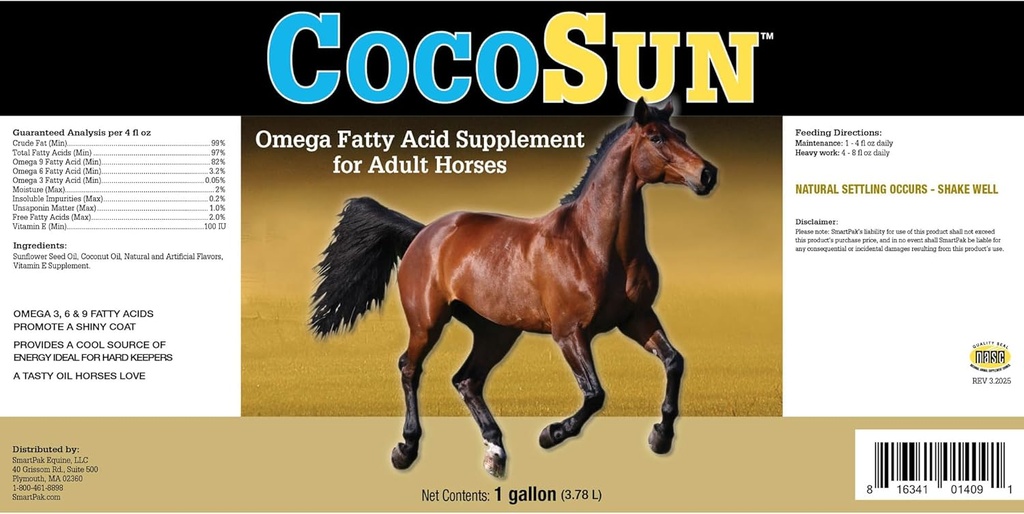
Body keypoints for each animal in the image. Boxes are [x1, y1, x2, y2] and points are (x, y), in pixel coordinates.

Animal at [310, 99, 717, 478]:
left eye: (681, 135)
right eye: (656, 137)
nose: (707, 174)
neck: (594, 244)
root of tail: (424, 233)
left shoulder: (637, 318)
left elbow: (674, 362)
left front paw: (660, 436)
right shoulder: (570, 333)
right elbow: (594, 394)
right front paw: (551, 434)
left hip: (496, 332)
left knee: (467, 380)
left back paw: (495, 453)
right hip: (427, 323)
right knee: (410, 368)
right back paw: (406, 450)